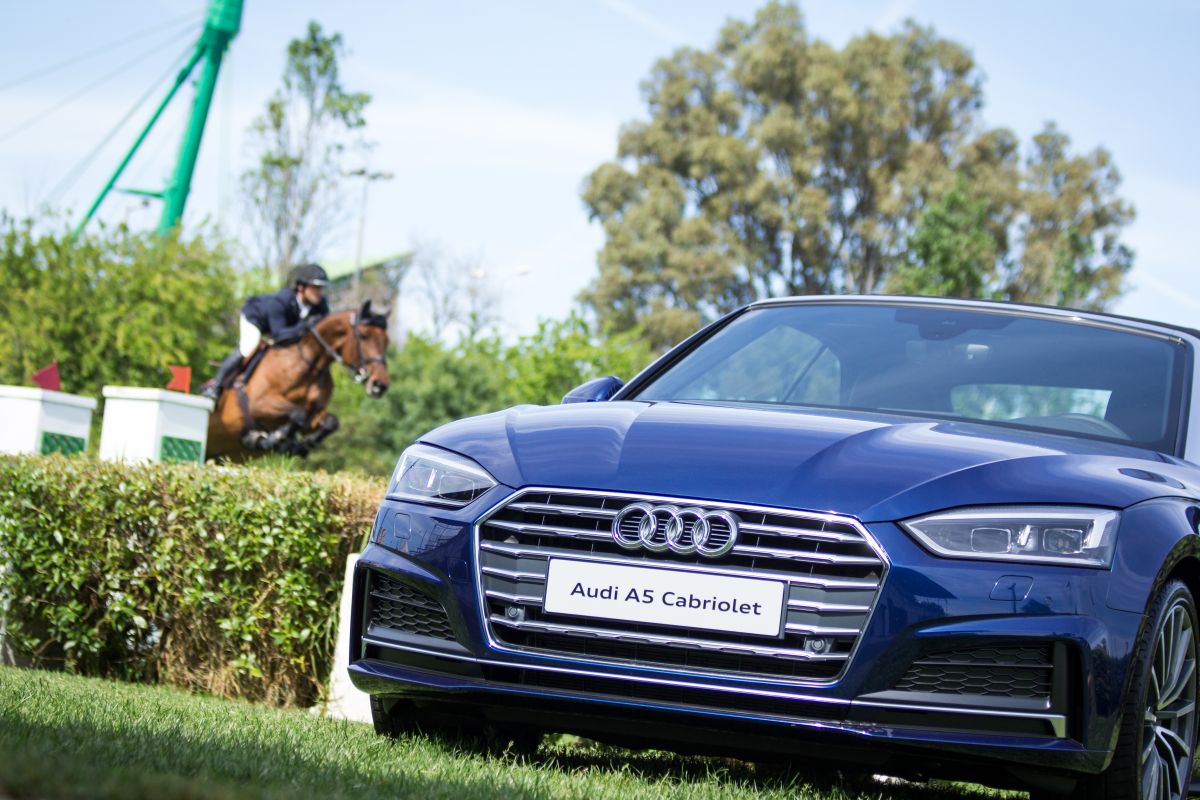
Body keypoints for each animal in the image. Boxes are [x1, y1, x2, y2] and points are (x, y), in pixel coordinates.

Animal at [206, 302, 391, 462]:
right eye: (363, 335)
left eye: (387, 341)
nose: (379, 385)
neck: (307, 366)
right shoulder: (257, 404)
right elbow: (297, 414)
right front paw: (273, 439)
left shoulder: (313, 416)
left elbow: (330, 422)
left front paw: (301, 446)